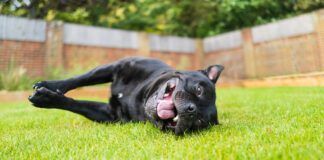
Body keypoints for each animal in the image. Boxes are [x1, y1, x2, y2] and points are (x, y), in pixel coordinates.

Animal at [29, 57, 224, 134]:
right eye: (199, 90)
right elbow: (80, 79)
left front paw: (47, 99)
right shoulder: (116, 66)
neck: (141, 95)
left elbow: (78, 105)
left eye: (197, 122)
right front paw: (51, 86)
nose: (191, 110)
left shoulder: (110, 114)